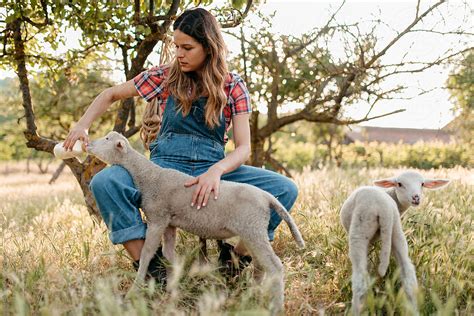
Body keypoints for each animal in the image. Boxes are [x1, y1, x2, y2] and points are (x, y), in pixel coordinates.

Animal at [87, 130, 306, 314]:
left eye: (107, 139)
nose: (88, 144)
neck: (149, 176)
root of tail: (267, 197)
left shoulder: (157, 217)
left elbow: (147, 253)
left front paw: (136, 287)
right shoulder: (169, 223)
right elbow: (168, 254)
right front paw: (174, 287)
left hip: (253, 228)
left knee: (274, 266)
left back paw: (276, 306)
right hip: (252, 231)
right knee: (261, 264)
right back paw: (255, 296)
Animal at [340, 172, 448, 314]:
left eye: (422, 184)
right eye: (400, 184)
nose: (416, 197)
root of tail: (384, 208)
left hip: (360, 230)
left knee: (360, 279)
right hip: (396, 230)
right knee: (408, 273)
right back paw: (413, 310)